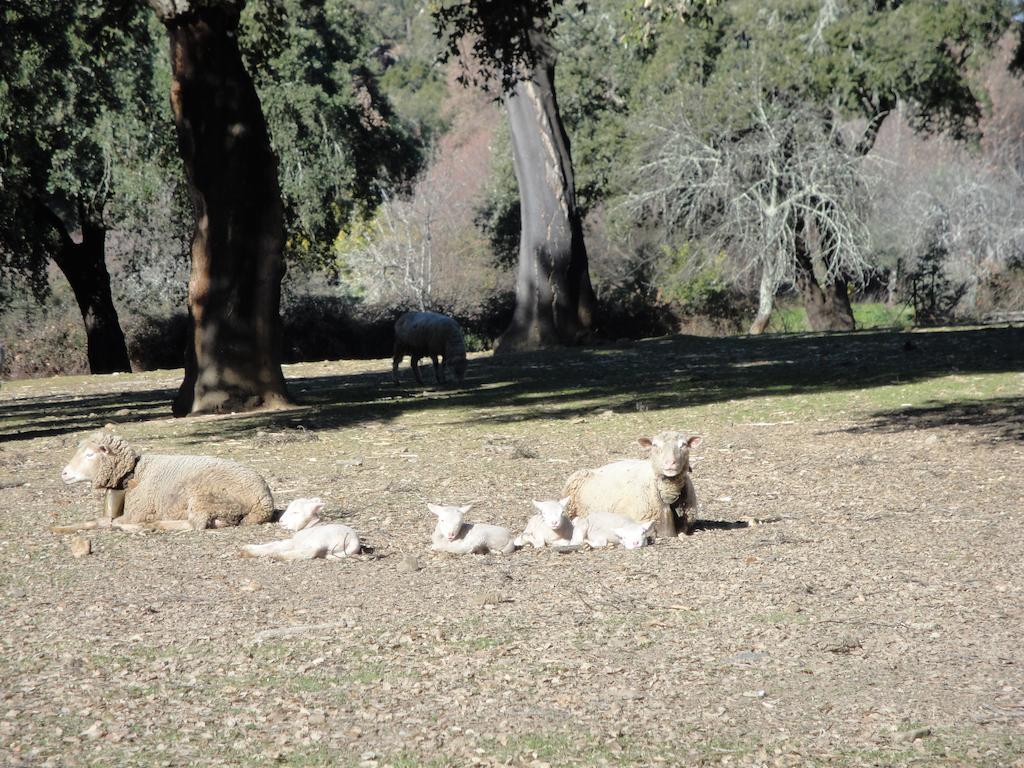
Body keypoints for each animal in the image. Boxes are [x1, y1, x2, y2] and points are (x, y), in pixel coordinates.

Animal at [53, 434, 274, 536]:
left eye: (90, 454)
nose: (64, 473)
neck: (134, 473)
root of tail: (264, 501)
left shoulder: (137, 512)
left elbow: (110, 522)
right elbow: (98, 521)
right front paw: (61, 528)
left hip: (204, 498)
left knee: (195, 525)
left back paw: (155, 525)